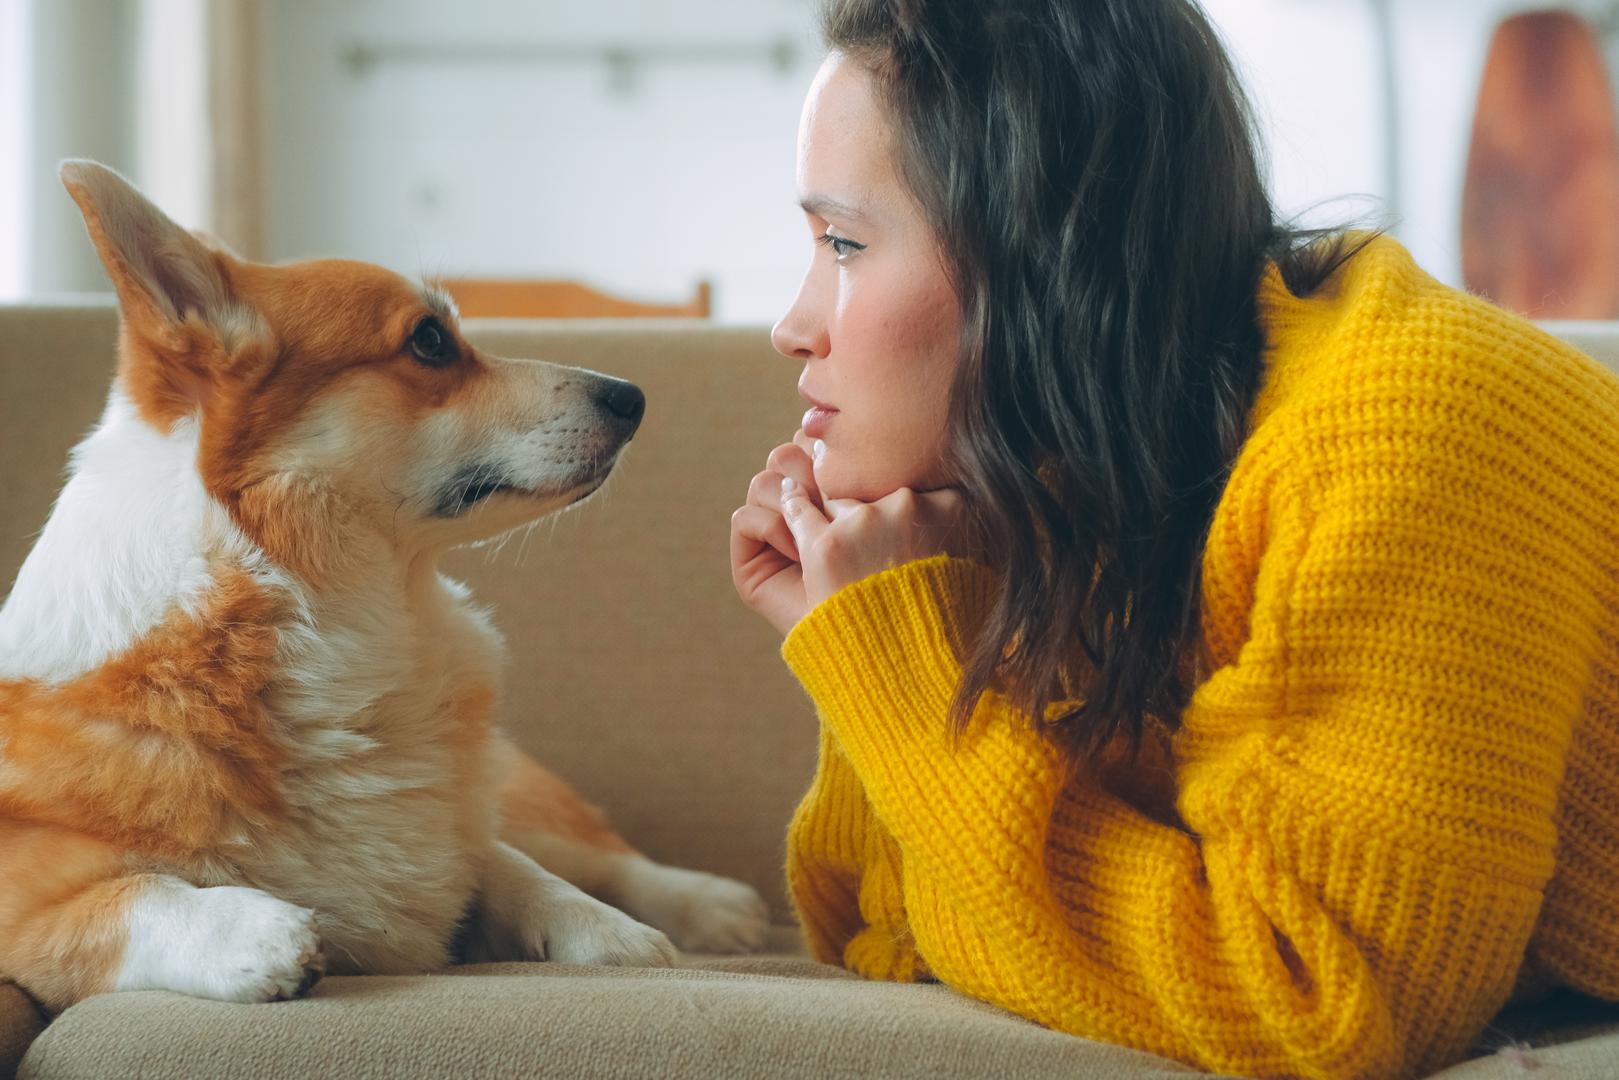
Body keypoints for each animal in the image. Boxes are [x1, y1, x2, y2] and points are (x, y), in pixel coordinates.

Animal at [0, 160, 770, 1016]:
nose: (633, 398)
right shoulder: (30, 899)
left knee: (593, 851)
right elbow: (137, 900)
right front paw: (256, 934)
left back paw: (711, 906)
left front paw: (611, 934)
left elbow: (510, 866)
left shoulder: (462, 829)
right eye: (430, 341)